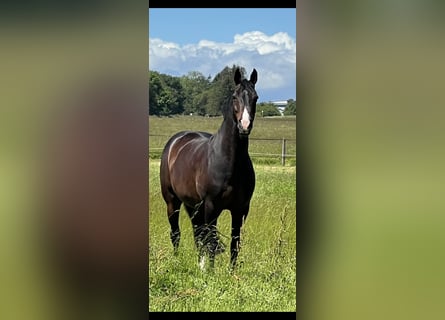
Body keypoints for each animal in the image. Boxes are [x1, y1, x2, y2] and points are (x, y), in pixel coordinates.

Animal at [159, 67, 256, 270]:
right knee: (176, 233)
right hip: (172, 202)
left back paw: (199, 263)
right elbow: (211, 240)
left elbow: (234, 243)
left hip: (194, 205)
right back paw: (177, 260)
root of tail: (176, 141)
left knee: (198, 234)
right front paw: (210, 271)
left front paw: (230, 272)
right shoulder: (212, 206)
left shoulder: (240, 209)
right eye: (234, 97)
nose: (244, 126)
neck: (230, 162)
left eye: (255, 97)